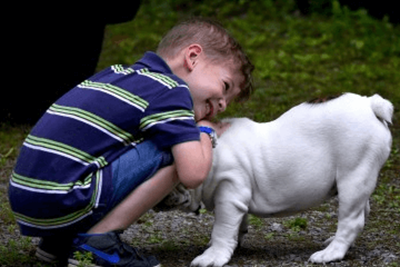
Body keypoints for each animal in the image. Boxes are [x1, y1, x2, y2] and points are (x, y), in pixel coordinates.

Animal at [158, 93, 392, 266]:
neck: (208, 152)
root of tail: (370, 104)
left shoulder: (229, 194)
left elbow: (222, 229)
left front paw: (213, 256)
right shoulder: (237, 199)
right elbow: (238, 224)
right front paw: (236, 241)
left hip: (353, 175)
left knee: (351, 220)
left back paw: (330, 253)